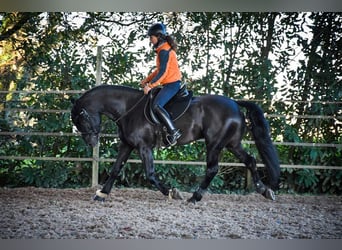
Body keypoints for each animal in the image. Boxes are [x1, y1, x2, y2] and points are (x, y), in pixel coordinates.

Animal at [71, 84, 280, 203]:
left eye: (80, 120)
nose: (91, 142)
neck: (128, 108)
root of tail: (236, 104)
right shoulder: (127, 145)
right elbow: (115, 169)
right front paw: (101, 194)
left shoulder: (144, 147)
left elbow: (150, 174)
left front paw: (172, 192)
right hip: (232, 144)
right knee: (250, 160)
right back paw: (264, 190)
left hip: (214, 144)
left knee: (212, 169)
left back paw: (194, 198)